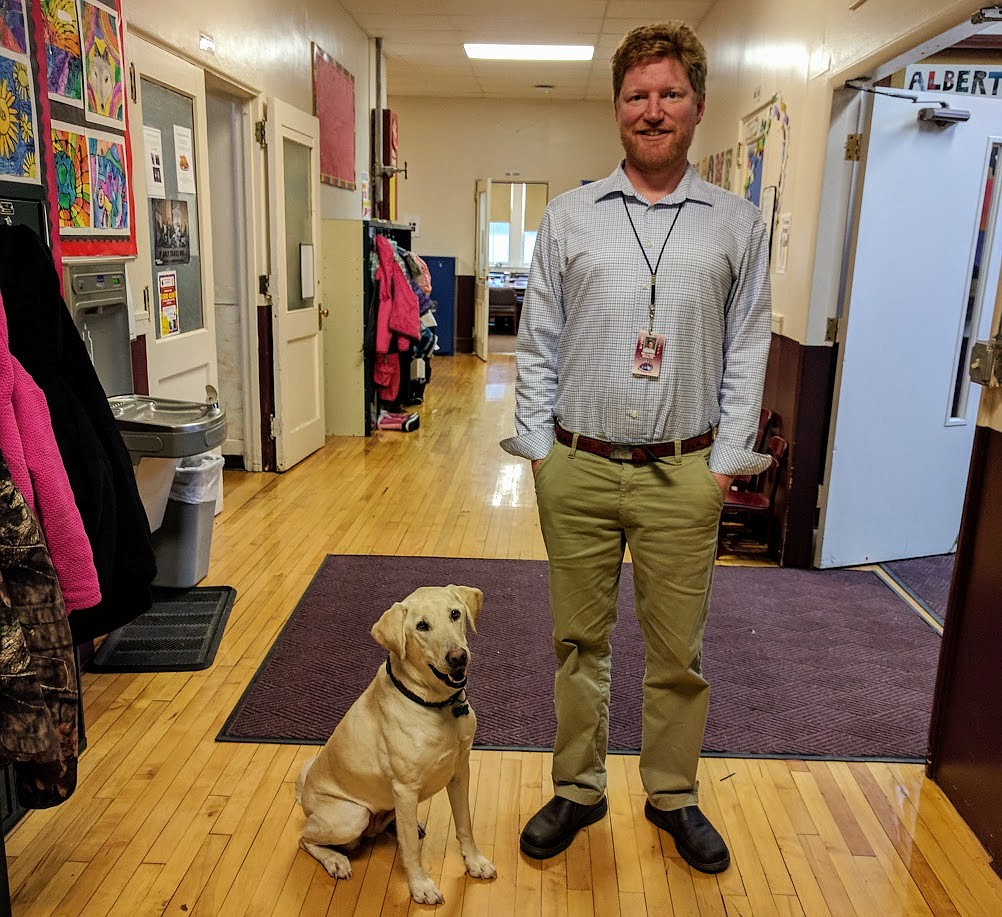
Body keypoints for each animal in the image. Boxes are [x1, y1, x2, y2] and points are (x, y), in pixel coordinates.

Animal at [294, 585, 494, 905]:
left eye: (455, 614)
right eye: (421, 626)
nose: (458, 657)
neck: (437, 706)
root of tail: (305, 800)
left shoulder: (460, 772)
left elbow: (465, 825)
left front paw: (474, 862)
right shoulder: (405, 789)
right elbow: (411, 849)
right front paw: (420, 886)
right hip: (352, 815)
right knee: (304, 838)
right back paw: (335, 860)